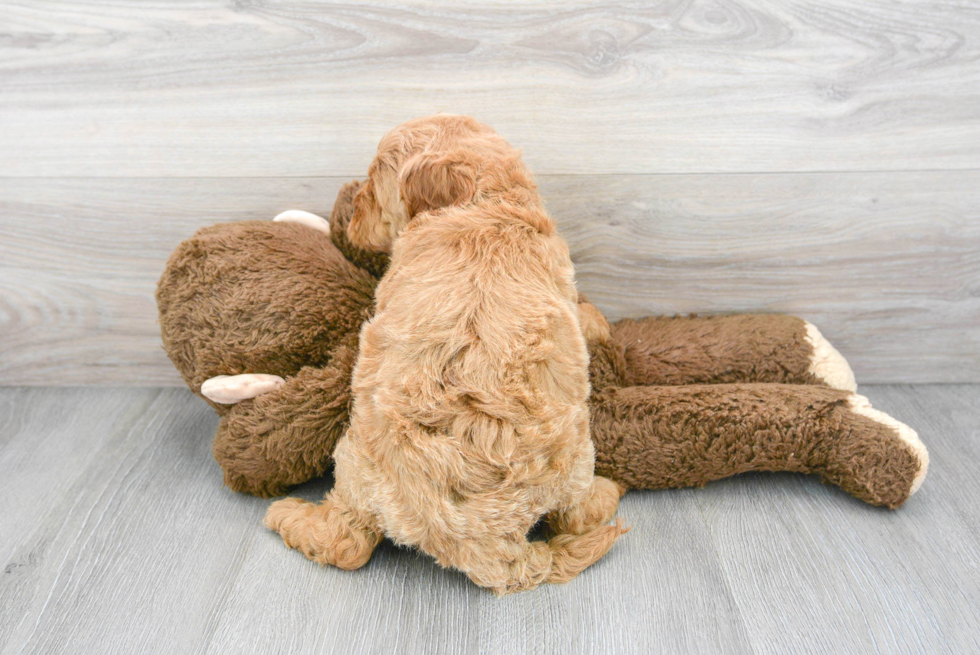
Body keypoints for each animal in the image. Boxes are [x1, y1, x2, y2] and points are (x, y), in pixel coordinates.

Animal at [264, 115, 624, 596]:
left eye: (374, 182)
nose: (352, 210)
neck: (484, 203)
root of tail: (480, 541)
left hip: (358, 463)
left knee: (346, 543)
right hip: (574, 455)